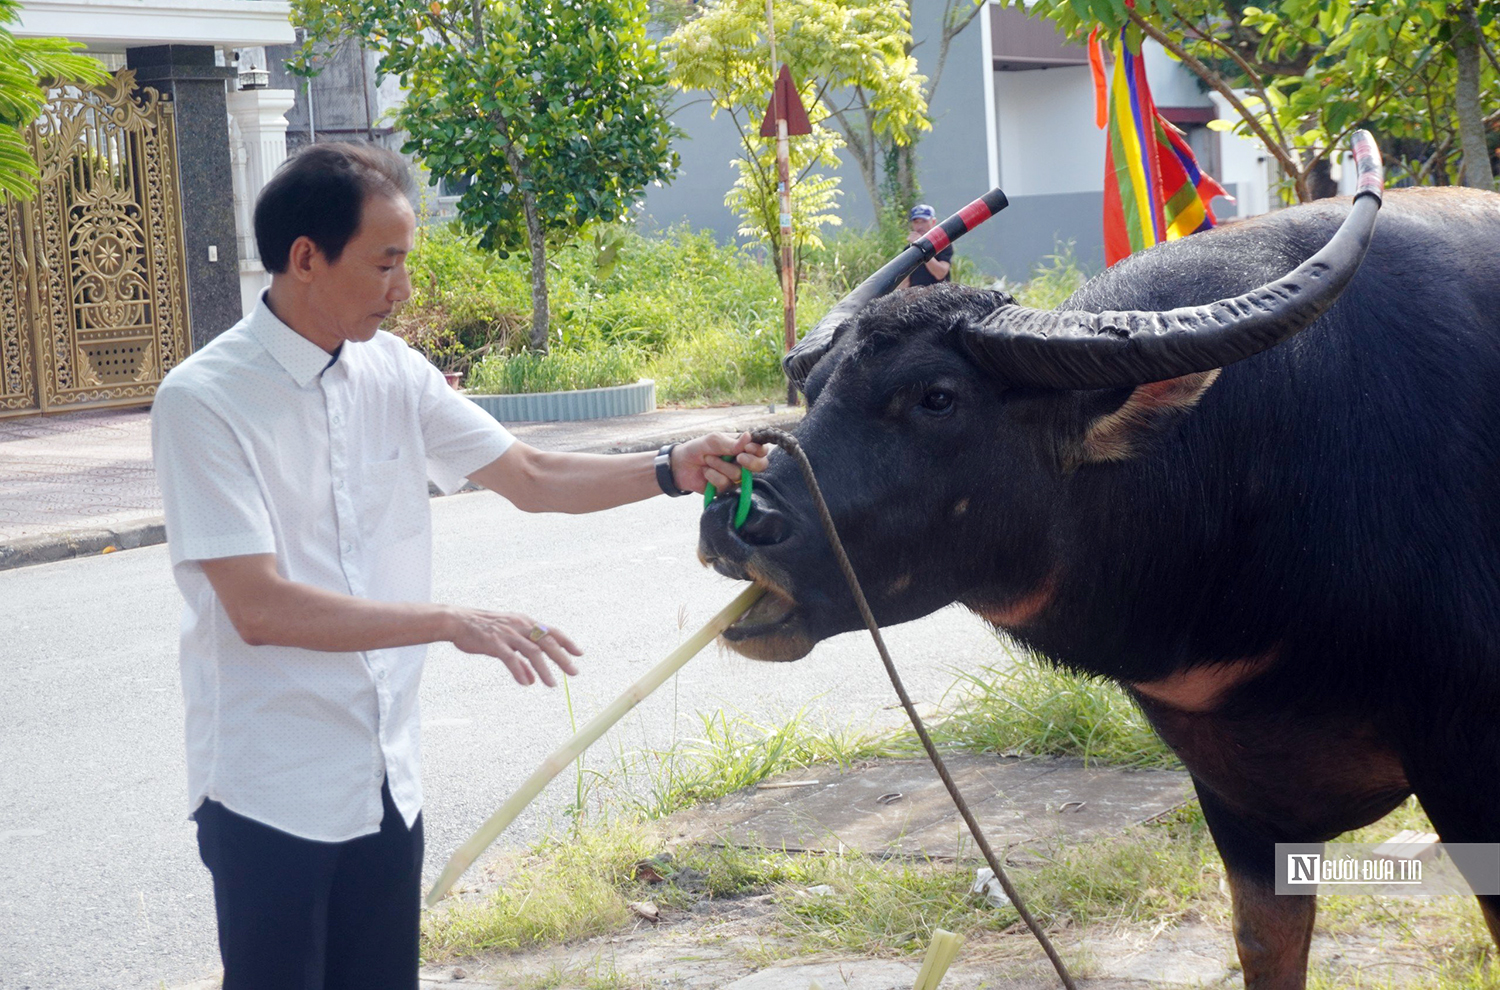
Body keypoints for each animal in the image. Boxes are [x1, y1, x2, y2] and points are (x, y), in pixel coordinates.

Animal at [699, 176, 1500, 984]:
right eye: (813, 390)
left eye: (937, 396)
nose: (738, 522)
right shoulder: (1232, 795)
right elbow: (1263, 943)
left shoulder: (1466, 769)